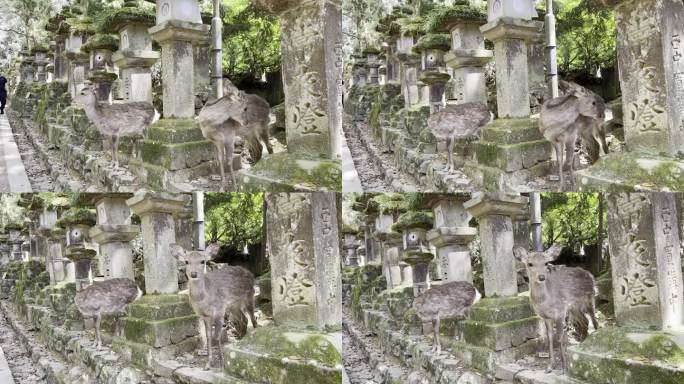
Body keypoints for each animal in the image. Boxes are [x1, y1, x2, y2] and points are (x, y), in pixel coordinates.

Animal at [512, 243, 600, 372]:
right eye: (530, 264)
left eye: (546, 263)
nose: (542, 277)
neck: (545, 302)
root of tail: (591, 275)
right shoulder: (546, 317)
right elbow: (549, 339)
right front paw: (550, 366)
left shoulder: (560, 312)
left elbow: (559, 337)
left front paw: (564, 366)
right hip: (574, 308)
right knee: (585, 321)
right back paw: (582, 343)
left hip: (589, 298)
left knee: (594, 320)